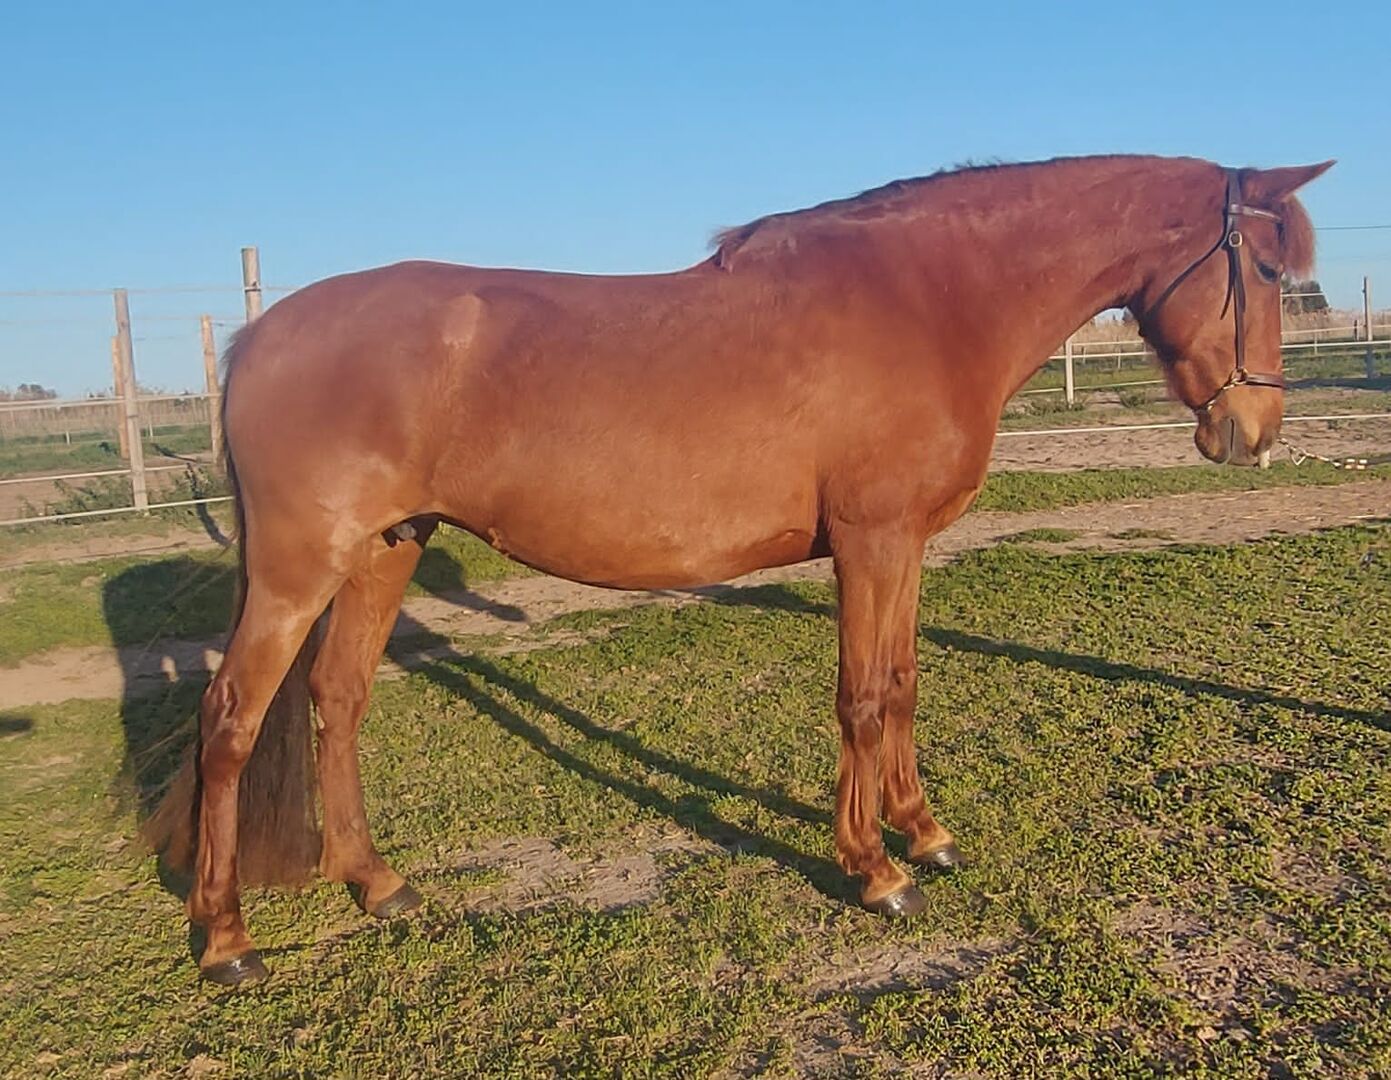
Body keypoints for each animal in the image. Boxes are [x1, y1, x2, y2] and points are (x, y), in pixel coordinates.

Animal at [148, 154, 1331, 984]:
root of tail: (255, 340)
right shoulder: (869, 542)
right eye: (1269, 271)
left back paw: (377, 885)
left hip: (386, 553)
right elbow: (860, 697)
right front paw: (875, 871)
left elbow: (904, 684)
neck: (930, 301)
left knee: (338, 702)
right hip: (298, 571)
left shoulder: (906, 546)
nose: (1253, 434)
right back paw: (227, 941)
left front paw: (924, 833)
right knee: (230, 724)